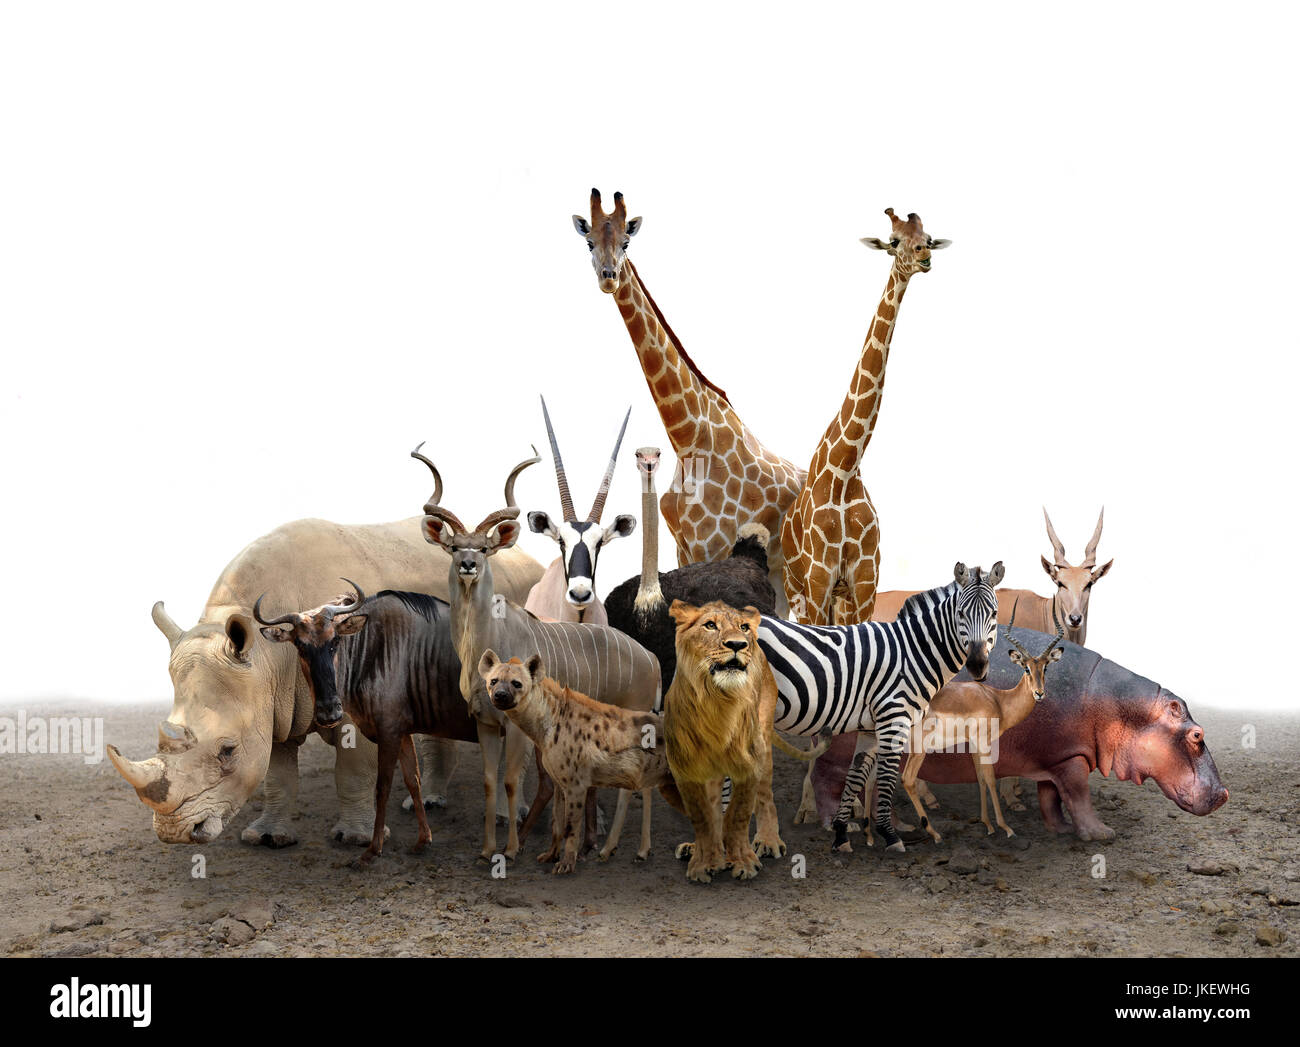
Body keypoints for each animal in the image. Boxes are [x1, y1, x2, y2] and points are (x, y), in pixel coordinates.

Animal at [574, 188, 806, 616]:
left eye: (627, 242)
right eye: (589, 242)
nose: (609, 278)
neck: (687, 436)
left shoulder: (711, 545)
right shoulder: (684, 547)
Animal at [660, 595, 821, 884]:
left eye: (743, 627)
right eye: (710, 625)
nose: (737, 644)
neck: (716, 704)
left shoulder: (749, 764)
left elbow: (739, 813)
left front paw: (744, 863)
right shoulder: (685, 769)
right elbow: (702, 815)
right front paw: (704, 863)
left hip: (764, 742)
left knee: (765, 795)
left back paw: (767, 842)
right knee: (714, 804)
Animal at [759, 564, 998, 848]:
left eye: (994, 614)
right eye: (961, 614)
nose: (977, 665)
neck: (911, 653)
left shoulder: (870, 728)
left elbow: (856, 776)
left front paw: (841, 835)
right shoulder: (893, 719)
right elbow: (887, 775)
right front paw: (889, 834)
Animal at [774, 208, 951, 624]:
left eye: (927, 238)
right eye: (894, 241)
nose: (923, 257)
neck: (845, 468)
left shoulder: (866, 581)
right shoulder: (819, 580)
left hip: (839, 599)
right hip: (797, 591)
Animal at [899, 603, 1060, 842]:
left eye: (1045, 668)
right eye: (1026, 668)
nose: (1039, 693)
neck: (997, 700)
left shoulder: (973, 744)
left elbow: (980, 779)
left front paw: (988, 824)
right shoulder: (984, 743)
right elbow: (991, 778)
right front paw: (1006, 827)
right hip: (918, 749)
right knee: (907, 780)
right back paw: (933, 833)